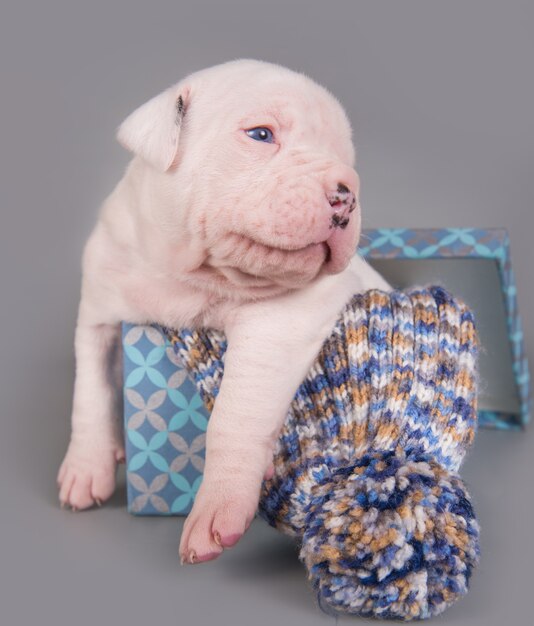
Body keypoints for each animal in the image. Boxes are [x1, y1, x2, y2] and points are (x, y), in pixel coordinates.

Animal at [57, 61, 390, 564]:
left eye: (345, 156)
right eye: (261, 134)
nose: (346, 192)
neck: (187, 273)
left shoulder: (277, 325)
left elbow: (235, 413)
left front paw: (218, 510)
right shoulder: (100, 308)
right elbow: (91, 391)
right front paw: (85, 466)